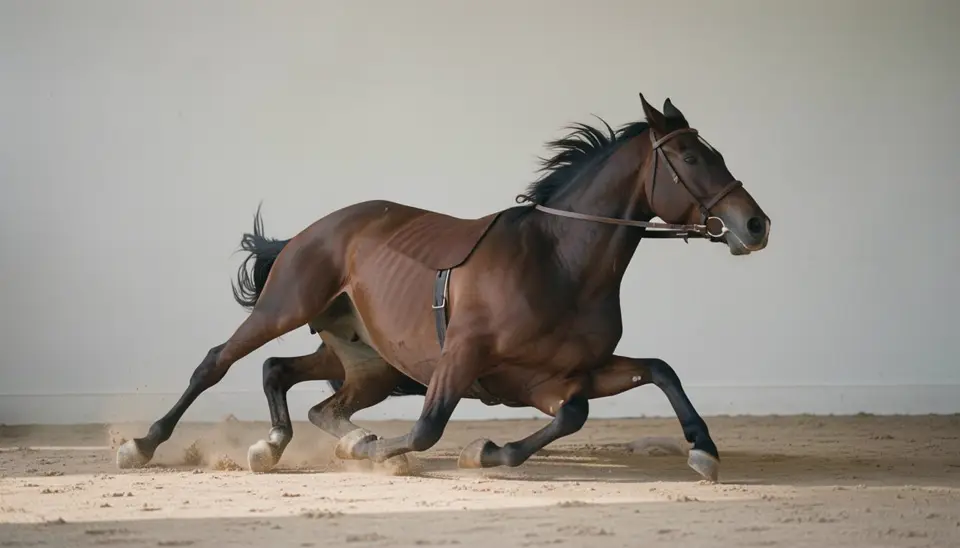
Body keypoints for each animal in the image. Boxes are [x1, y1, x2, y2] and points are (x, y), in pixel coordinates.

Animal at [115, 94, 770, 483]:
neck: (560, 261)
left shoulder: (551, 379)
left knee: (299, 386)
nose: (755, 225)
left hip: (367, 364)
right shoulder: (462, 357)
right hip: (286, 307)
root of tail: (314, 229)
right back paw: (143, 445)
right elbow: (428, 429)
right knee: (218, 363)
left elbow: (632, 383)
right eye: (691, 156)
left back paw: (283, 444)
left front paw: (702, 449)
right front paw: (411, 452)